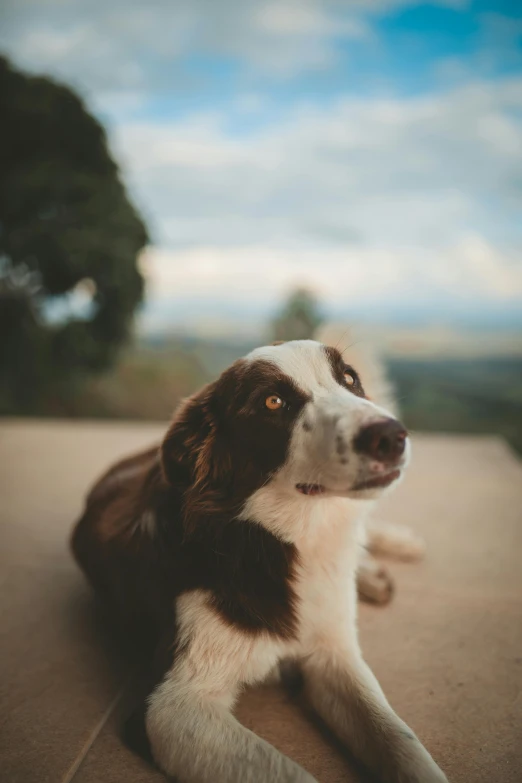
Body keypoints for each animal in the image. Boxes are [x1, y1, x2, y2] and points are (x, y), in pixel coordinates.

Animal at [71, 342, 444, 783]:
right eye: (273, 402)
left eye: (349, 377)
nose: (390, 435)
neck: (284, 543)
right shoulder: (168, 707)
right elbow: (293, 774)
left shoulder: (335, 655)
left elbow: (403, 743)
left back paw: (395, 550)